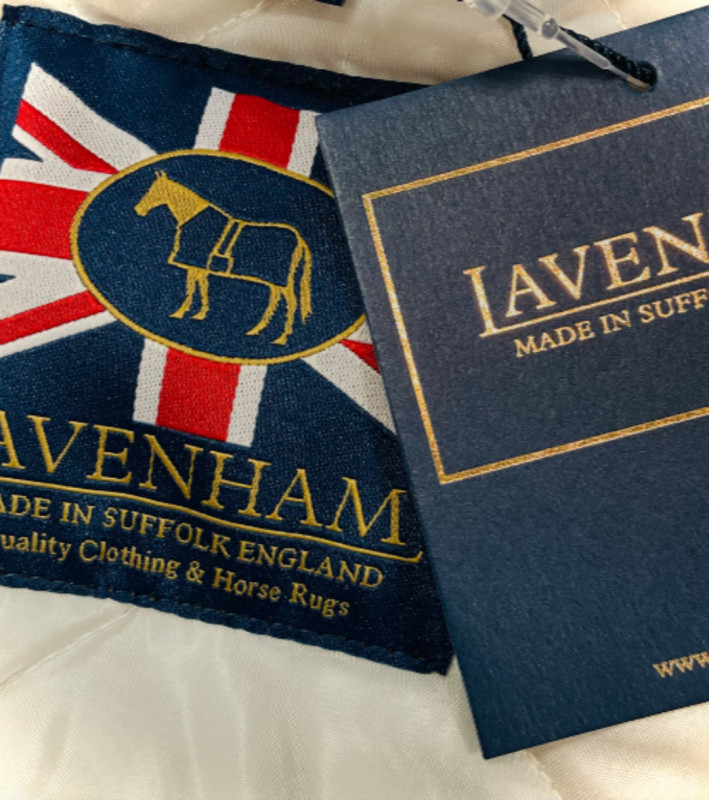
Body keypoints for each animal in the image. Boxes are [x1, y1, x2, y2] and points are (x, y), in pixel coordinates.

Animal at [134, 170, 312, 346]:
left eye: (152, 190)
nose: (137, 209)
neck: (192, 216)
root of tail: (300, 239)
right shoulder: (200, 266)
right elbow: (202, 286)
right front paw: (200, 313)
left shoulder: (194, 262)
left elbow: (192, 288)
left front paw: (180, 312)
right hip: (275, 281)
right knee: (275, 300)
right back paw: (257, 330)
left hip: (281, 279)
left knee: (292, 302)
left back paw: (281, 338)